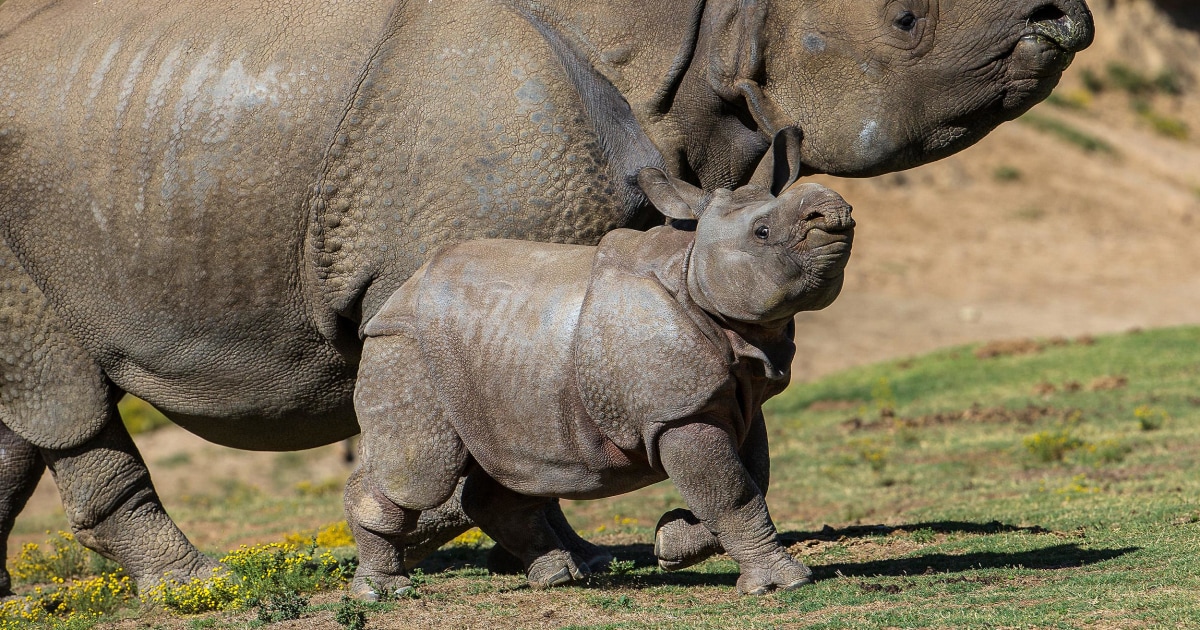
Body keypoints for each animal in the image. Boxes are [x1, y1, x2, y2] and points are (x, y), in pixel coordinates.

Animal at [348, 160, 854, 595]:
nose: (835, 210)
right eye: (762, 232)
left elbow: (750, 481)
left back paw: (558, 577)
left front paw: (670, 542)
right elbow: (732, 492)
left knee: (507, 466)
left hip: (489, 359)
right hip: (407, 345)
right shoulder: (680, 409)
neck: (692, 269)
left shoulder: (734, 392)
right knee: (419, 474)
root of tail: (398, 292)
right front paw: (785, 582)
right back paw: (383, 591)